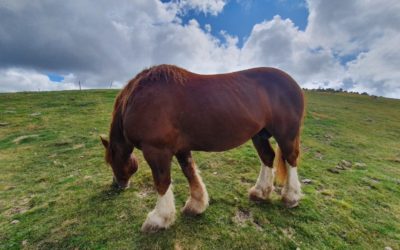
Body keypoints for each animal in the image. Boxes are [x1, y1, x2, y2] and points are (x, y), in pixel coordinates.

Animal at [100, 64, 304, 232]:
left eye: (111, 161)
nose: (117, 184)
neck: (137, 100)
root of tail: (293, 83)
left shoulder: (156, 150)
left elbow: (162, 182)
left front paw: (158, 219)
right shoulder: (181, 148)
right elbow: (189, 171)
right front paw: (196, 205)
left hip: (286, 134)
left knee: (291, 159)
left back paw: (291, 197)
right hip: (259, 135)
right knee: (267, 157)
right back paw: (260, 193)